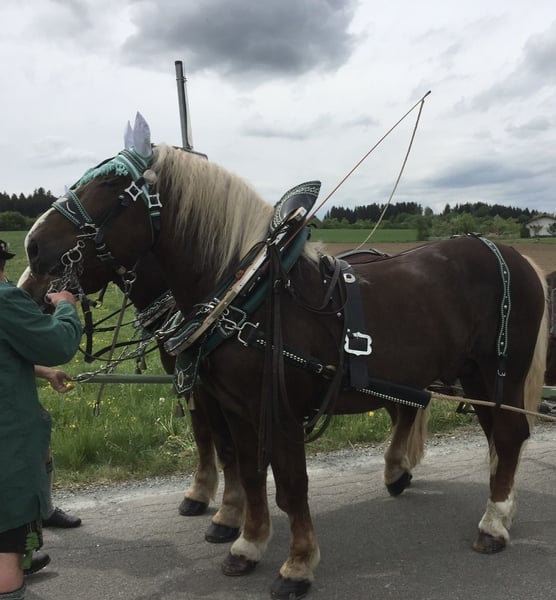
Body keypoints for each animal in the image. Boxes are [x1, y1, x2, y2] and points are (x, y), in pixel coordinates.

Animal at [18, 254, 244, 544]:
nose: (23, 291)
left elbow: (227, 444)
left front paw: (230, 514)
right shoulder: (188, 381)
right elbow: (203, 434)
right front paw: (199, 493)